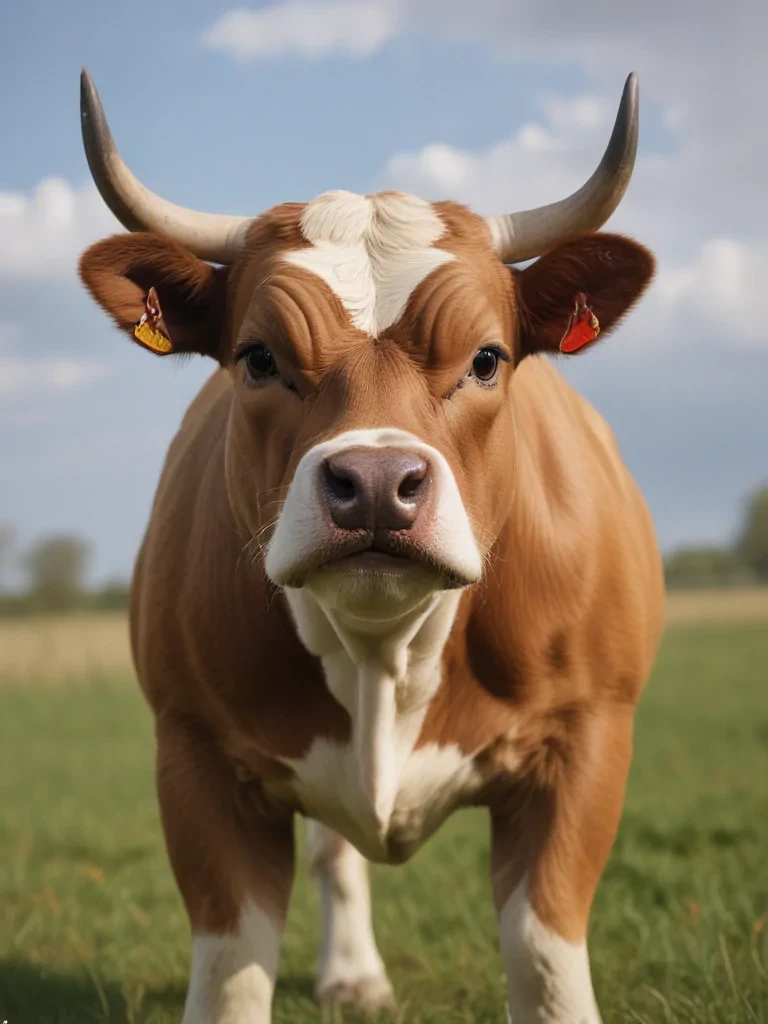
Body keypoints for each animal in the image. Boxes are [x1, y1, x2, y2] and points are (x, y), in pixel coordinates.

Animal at [78, 68, 663, 1024]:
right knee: (337, 855)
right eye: (257, 357)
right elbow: (233, 971)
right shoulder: (194, 755)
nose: (380, 484)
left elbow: (544, 956)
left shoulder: (586, 739)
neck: (385, 652)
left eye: (488, 358)